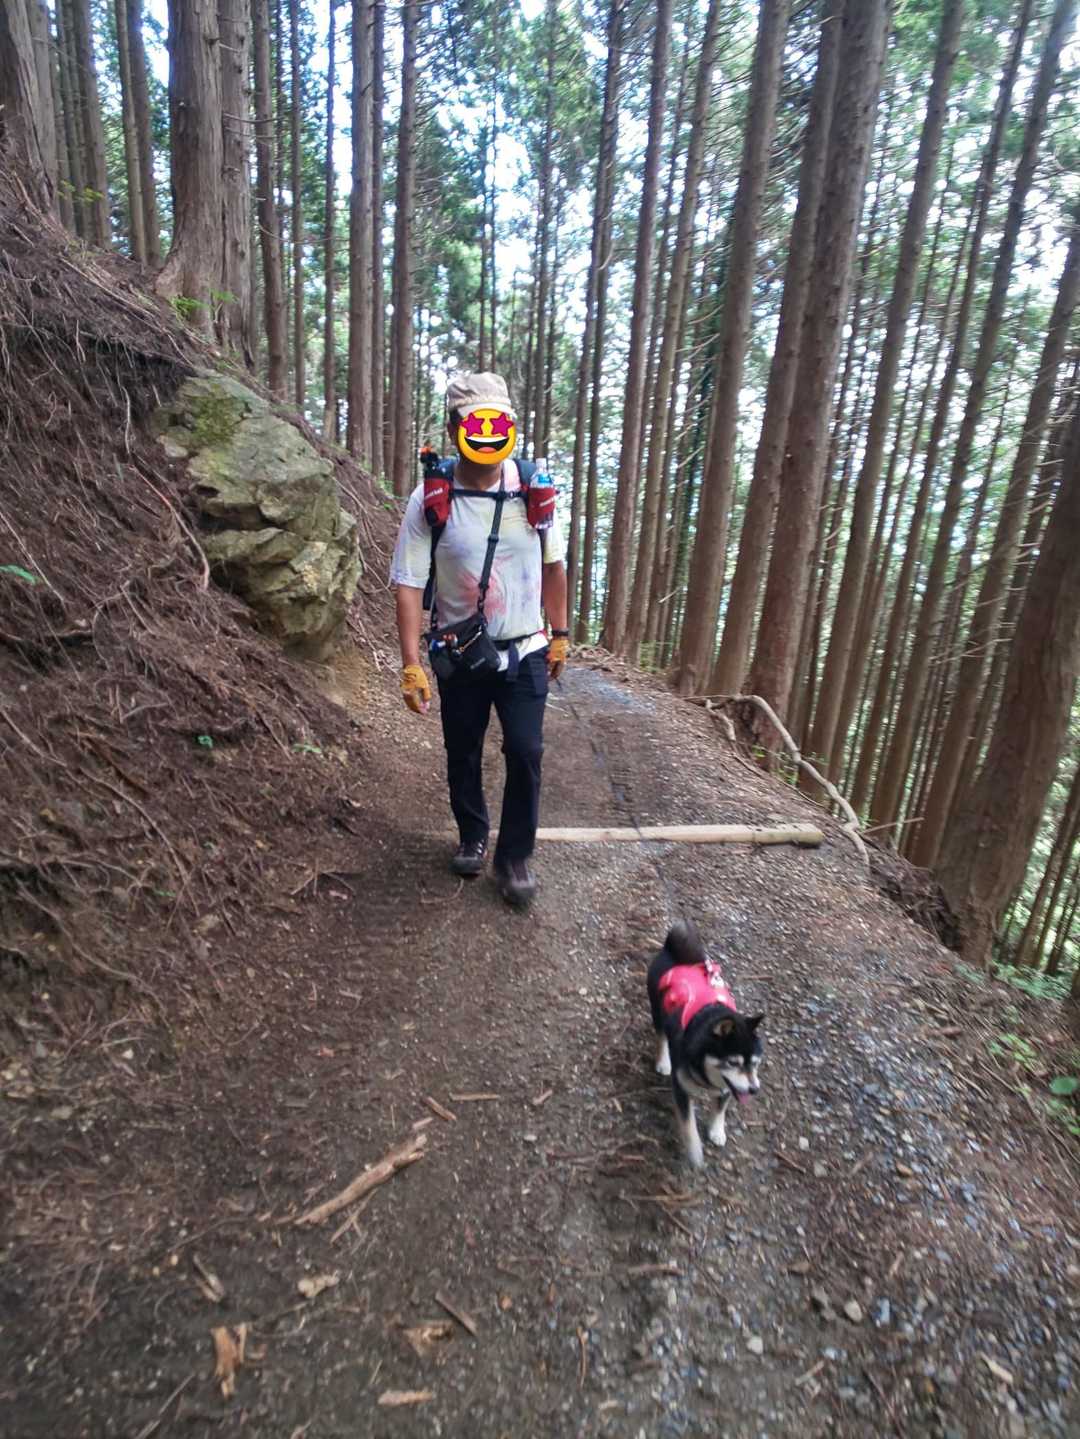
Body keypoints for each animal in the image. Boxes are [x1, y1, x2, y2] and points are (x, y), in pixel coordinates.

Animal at [647, 921, 763, 1167]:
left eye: (756, 1063)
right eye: (733, 1062)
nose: (754, 1089)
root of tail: (676, 953)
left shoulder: (727, 1088)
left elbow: (720, 1108)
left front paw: (717, 1131)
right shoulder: (680, 1089)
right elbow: (688, 1125)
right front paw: (695, 1153)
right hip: (658, 1011)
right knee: (661, 1036)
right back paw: (663, 1061)